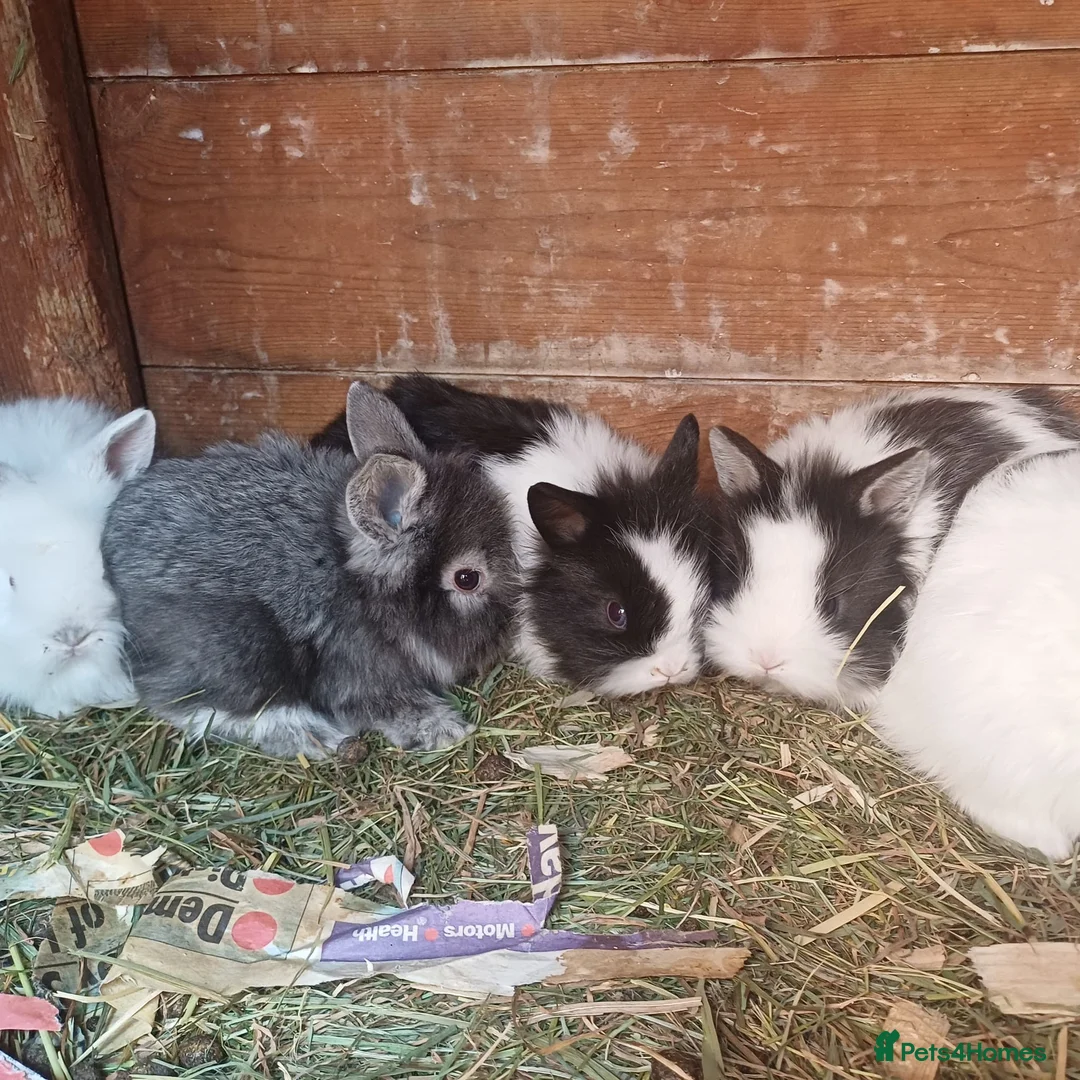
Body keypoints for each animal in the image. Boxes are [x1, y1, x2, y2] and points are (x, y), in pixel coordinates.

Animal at [102, 383, 517, 758]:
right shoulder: (357, 671)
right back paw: (315, 736)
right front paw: (445, 729)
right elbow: (390, 703)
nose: (505, 633)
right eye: (467, 579)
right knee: (195, 705)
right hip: (235, 650)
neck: (362, 590)